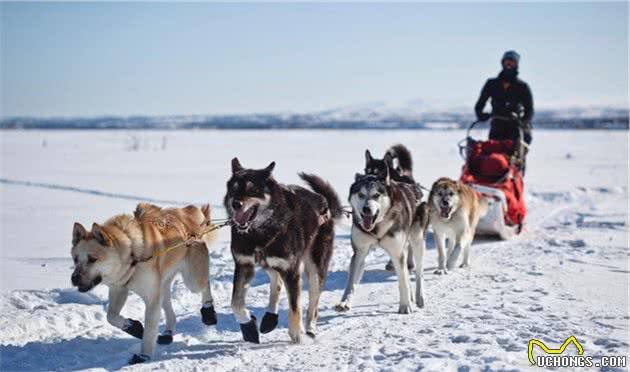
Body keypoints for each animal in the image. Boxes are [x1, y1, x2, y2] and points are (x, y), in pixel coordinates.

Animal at [227, 158, 344, 344]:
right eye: (234, 189)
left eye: (252, 189)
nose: (235, 204)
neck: (259, 233)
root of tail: (324, 202)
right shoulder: (244, 264)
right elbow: (235, 304)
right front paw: (248, 326)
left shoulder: (291, 271)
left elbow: (295, 306)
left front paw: (296, 335)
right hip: (269, 263)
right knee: (277, 282)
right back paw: (270, 318)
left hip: (315, 268)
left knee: (313, 302)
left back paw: (309, 328)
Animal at [334, 171, 432, 314]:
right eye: (361, 195)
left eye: (376, 195)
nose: (366, 209)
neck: (377, 227)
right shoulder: (359, 253)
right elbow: (351, 282)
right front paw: (344, 302)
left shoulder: (397, 253)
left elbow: (403, 280)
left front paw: (405, 306)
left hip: (417, 241)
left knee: (419, 272)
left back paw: (420, 296)